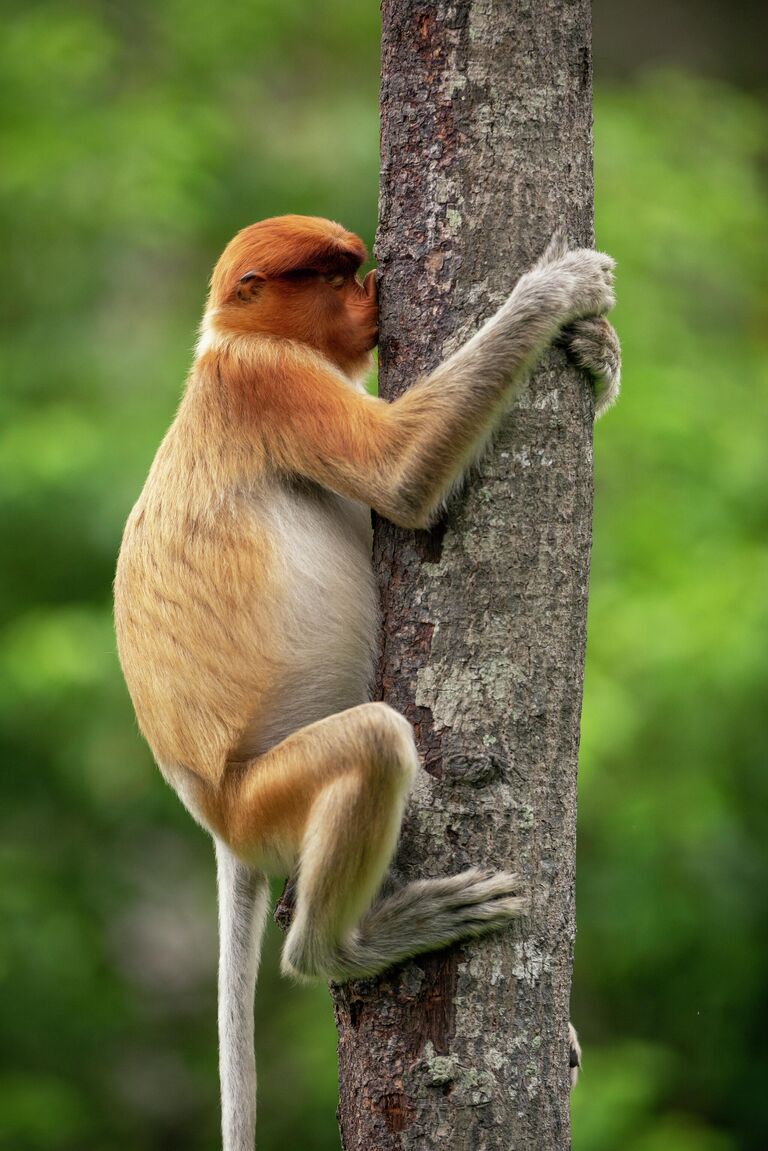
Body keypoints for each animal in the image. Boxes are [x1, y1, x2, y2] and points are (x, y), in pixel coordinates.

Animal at [113, 214, 617, 1141]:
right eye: (333, 276)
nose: (374, 289)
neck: (228, 342)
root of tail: (214, 815)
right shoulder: (271, 382)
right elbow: (400, 475)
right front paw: (559, 288)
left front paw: (598, 351)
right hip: (267, 796)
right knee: (378, 741)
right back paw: (344, 945)